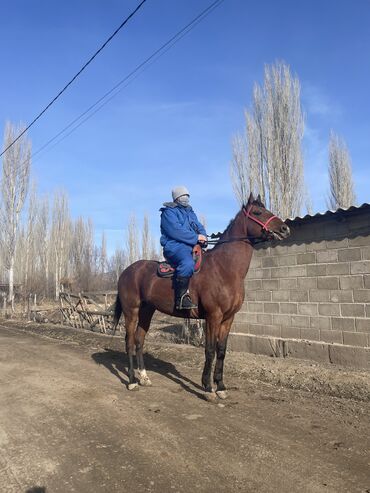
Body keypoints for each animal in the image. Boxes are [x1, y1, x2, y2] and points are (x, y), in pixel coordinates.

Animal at [112, 192, 290, 400]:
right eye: (258, 212)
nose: (285, 228)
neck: (224, 269)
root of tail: (127, 271)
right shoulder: (213, 316)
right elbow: (210, 350)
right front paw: (207, 388)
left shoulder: (228, 318)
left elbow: (221, 350)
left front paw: (220, 386)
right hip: (131, 311)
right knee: (129, 342)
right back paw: (132, 381)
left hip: (147, 311)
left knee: (139, 340)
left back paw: (144, 378)